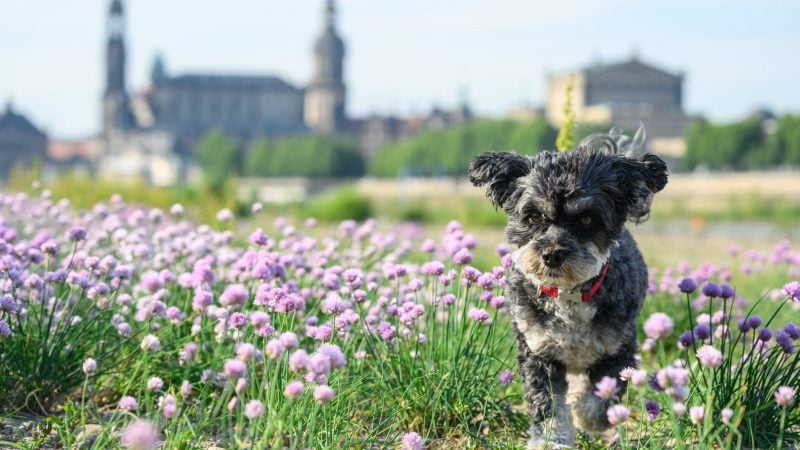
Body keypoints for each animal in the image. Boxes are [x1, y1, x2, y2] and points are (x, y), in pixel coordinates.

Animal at [468, 128, 668, 448]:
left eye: (586, 218)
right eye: (533, 216)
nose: (552, 254)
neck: (568, 293)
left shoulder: (618, 351)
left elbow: (599, 401)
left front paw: (585, 416)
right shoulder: (539, 352)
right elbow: (548, 405)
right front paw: (552, 440)